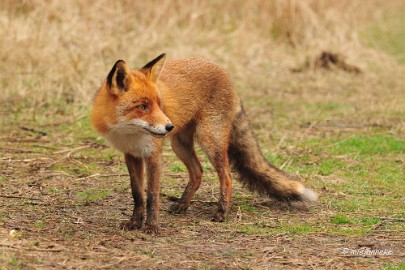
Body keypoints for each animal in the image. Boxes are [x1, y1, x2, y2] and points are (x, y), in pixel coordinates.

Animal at [91, 53, 316, 233]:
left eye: (159, 104)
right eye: (142, 106)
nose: (169, 126)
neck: (130, 133)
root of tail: (224, 73)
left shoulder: (153, 154)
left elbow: (152, 195)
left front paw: (152, 226)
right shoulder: (132, 155)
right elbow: (138, 194)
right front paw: (134, 223)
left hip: (209, 140)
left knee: (226, 176)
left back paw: (221, 212)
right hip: (179, 144)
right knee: (198, 172)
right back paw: (183, 204)